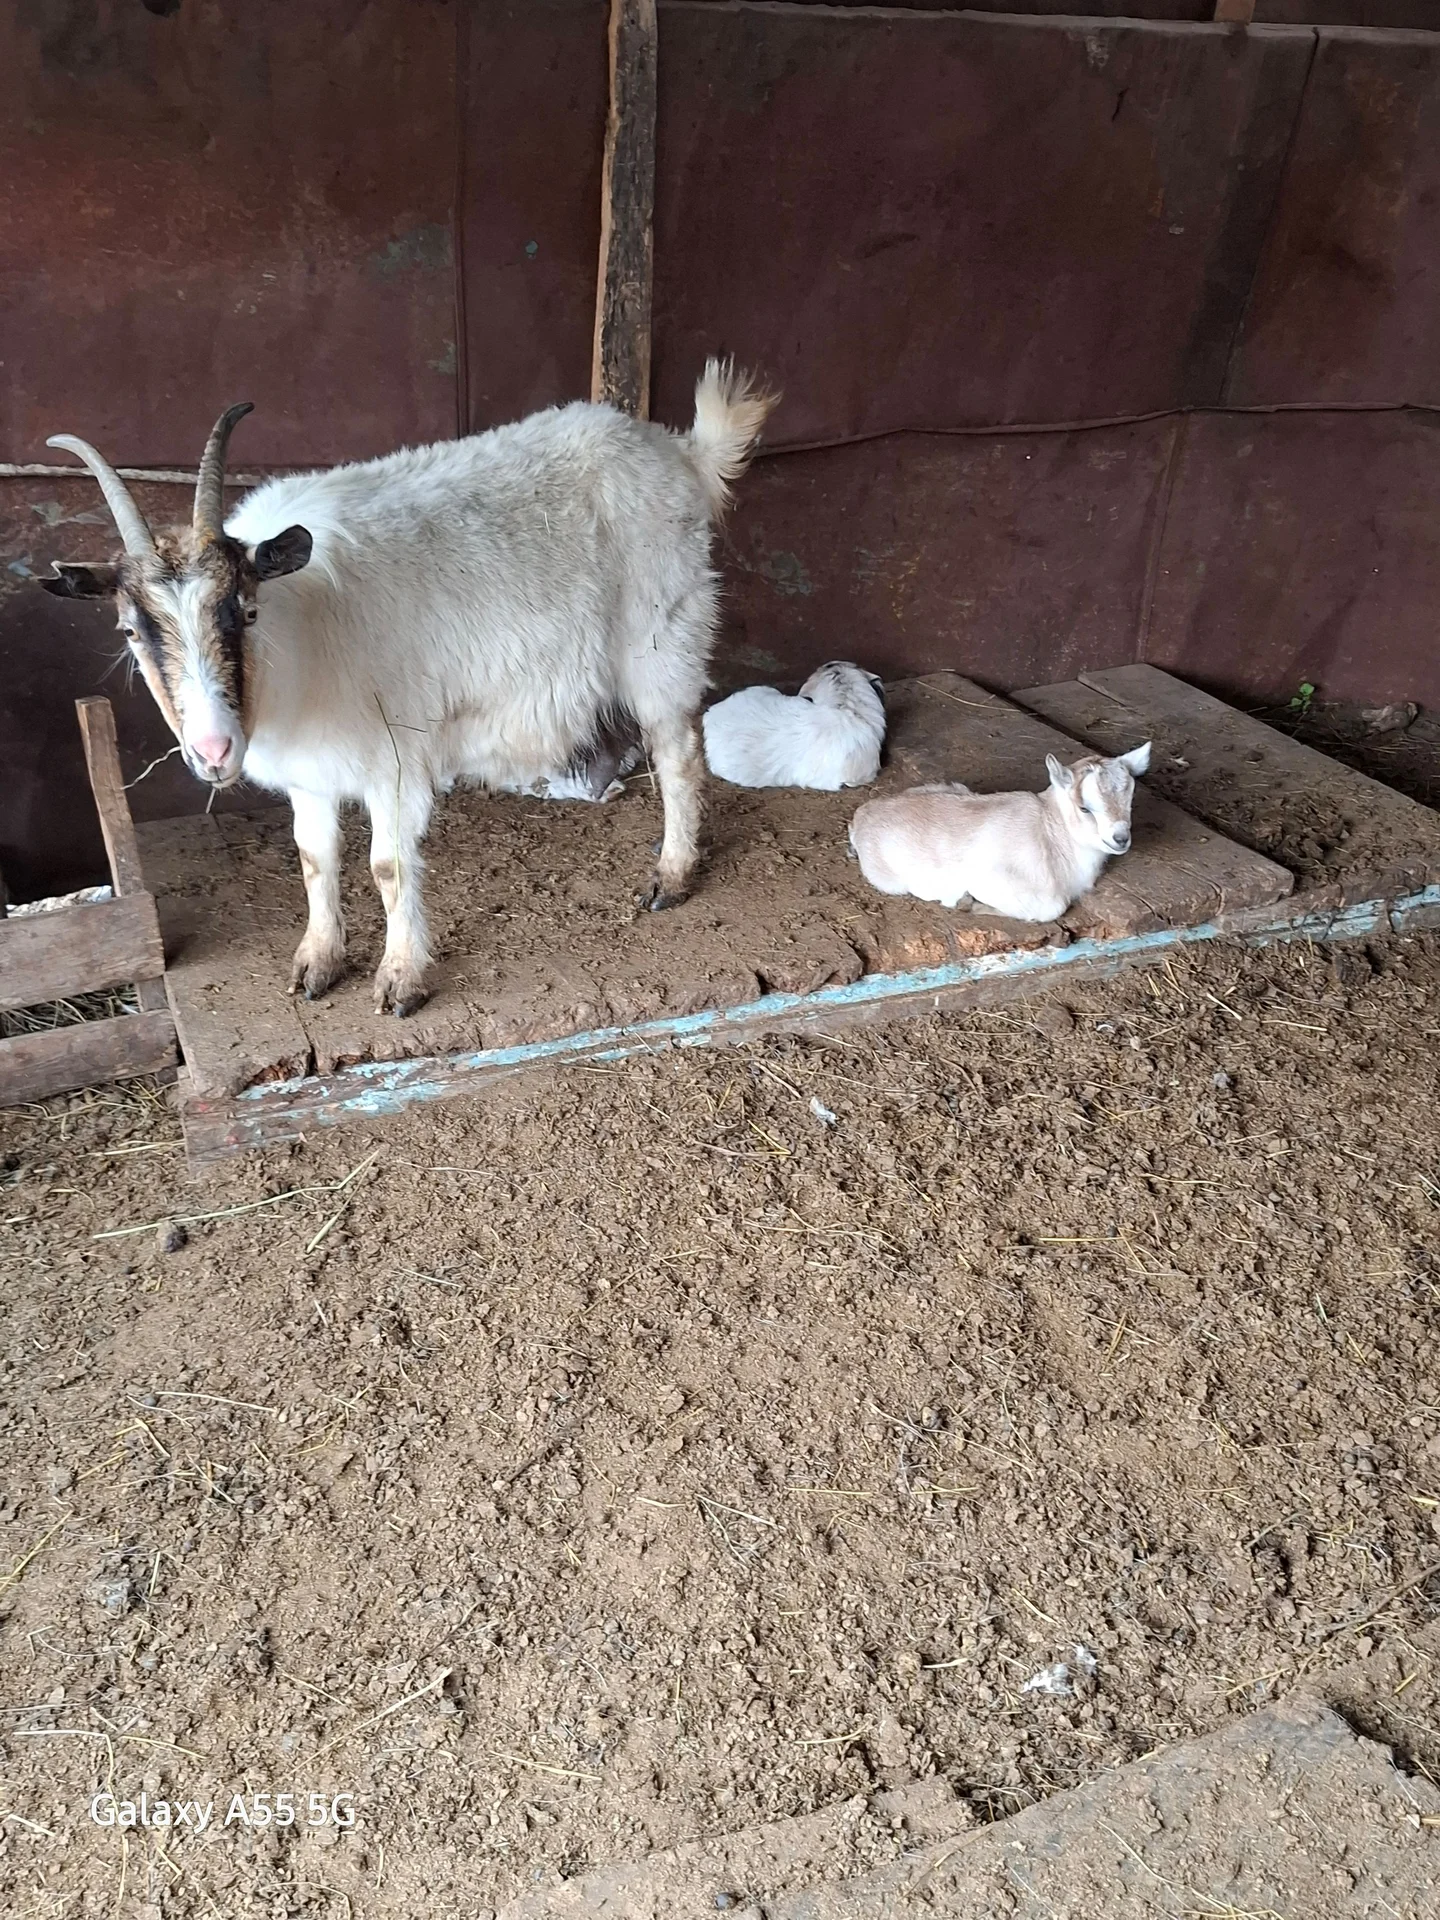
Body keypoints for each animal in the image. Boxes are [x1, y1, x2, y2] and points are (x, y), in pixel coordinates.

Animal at [41, 364, 775, 1014]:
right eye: (131, 632)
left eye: (243, 612)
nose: (215, 750)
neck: (301, 633)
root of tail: (679, 451)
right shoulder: (310, 773)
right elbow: (314, 859)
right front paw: (317, 962)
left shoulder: (392, 760)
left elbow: (388, 867)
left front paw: (401, 980)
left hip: (663, 639)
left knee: (678, 752)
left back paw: (671, 876)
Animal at [848, 744, 1151, 919]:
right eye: (1084, 808)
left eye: (1130, 799)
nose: (1120, 838)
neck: (1052, 831)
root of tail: (862, 815)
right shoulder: (991, 879)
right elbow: (1052, 908)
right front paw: (966, 903)